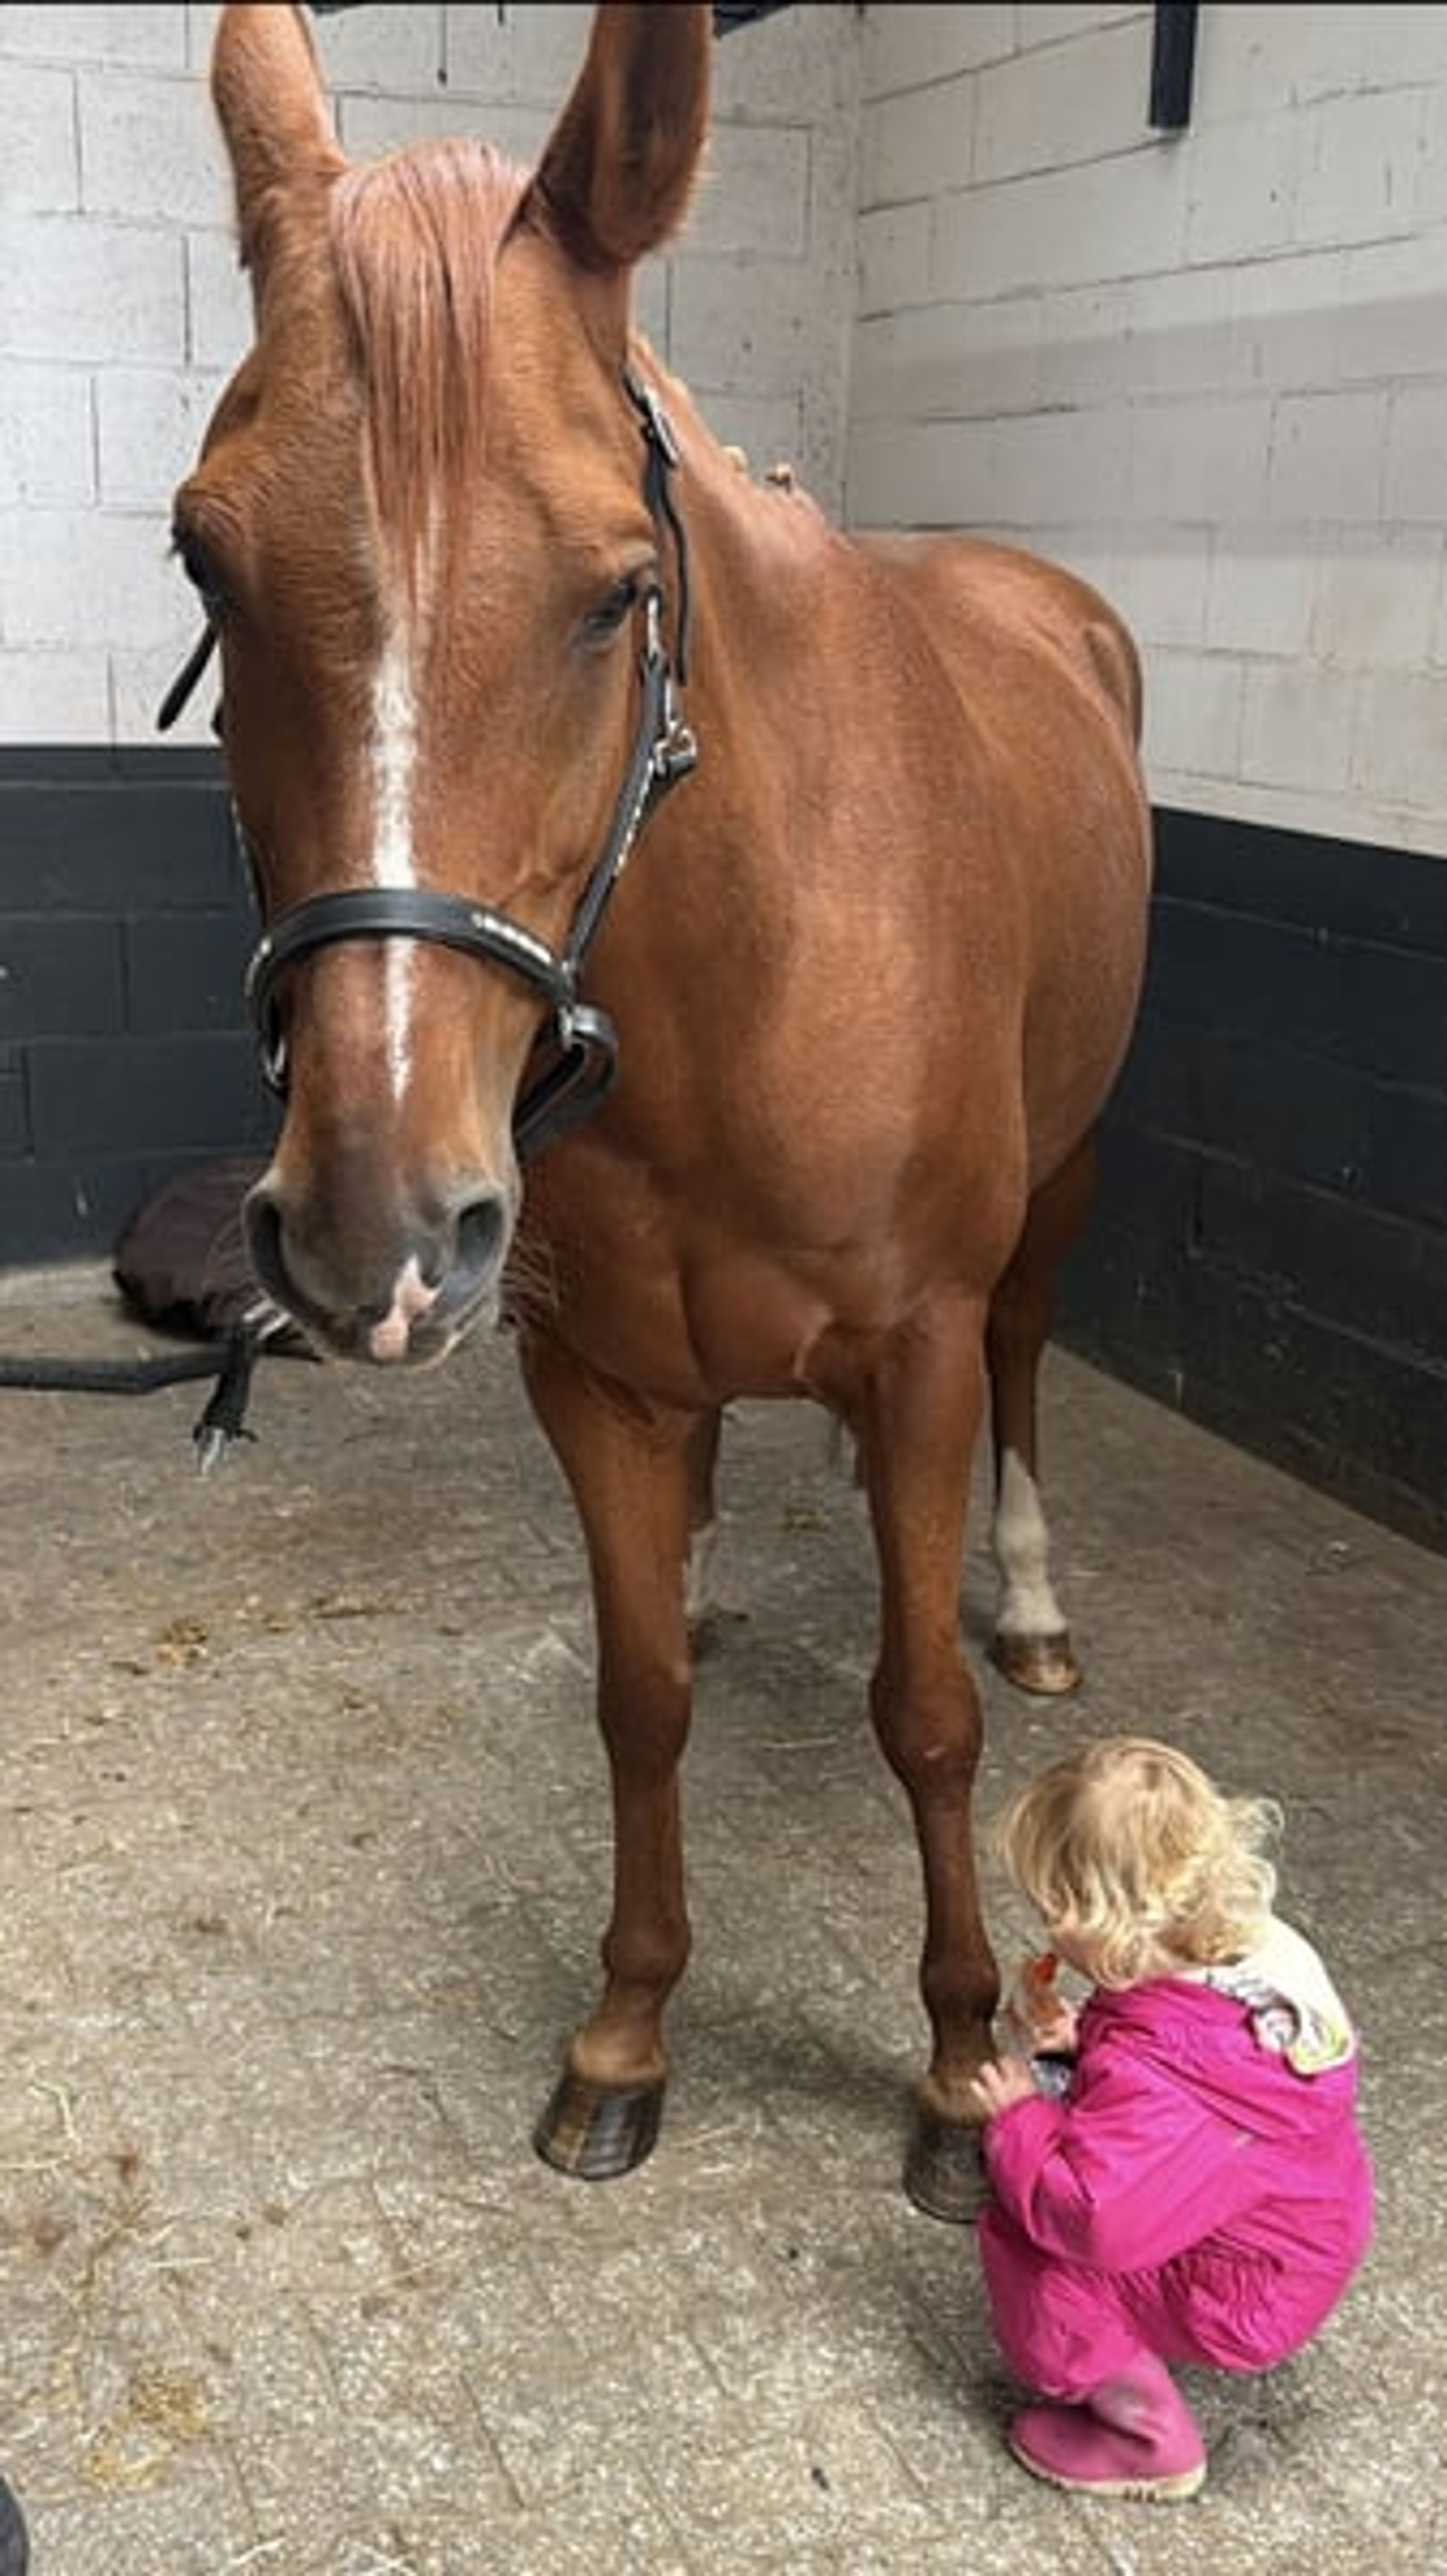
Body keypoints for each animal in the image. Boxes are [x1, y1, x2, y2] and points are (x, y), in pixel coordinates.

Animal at [165, 0, 1152, 2221]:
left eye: (621, 591)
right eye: (205, 554)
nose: (371, 1234)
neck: (747, 968)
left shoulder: (919, 1352)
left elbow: (925, 1713)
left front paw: (959, 2068)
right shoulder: (597, 1374)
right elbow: (640, 1702)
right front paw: (623, 2032)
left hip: (1058, 1194)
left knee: (1037, 1373)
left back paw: (1040, 1598)